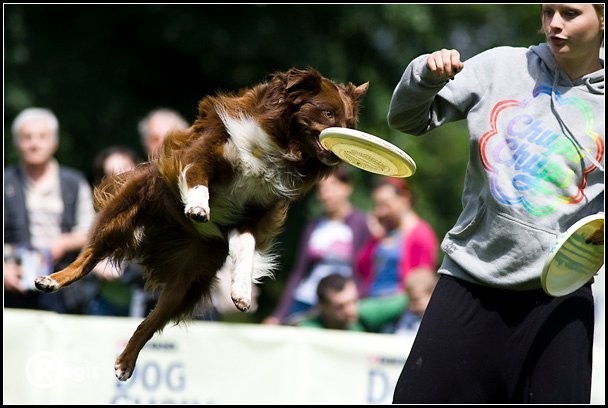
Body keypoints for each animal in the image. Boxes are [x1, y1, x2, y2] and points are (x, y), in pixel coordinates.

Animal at [35, 67, 368, 382]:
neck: (280, 146)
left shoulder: (252, 215)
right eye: (327, 113)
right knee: (89, 256)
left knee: (151, 321)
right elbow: (197, 177)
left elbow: (246, 249)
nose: (343, 149)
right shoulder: (201, 155)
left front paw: (242, 292)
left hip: (188, 279)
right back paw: (53, 280)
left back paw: (125, 363)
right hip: (123, 212)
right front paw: (197, 206)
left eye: (350, 122)